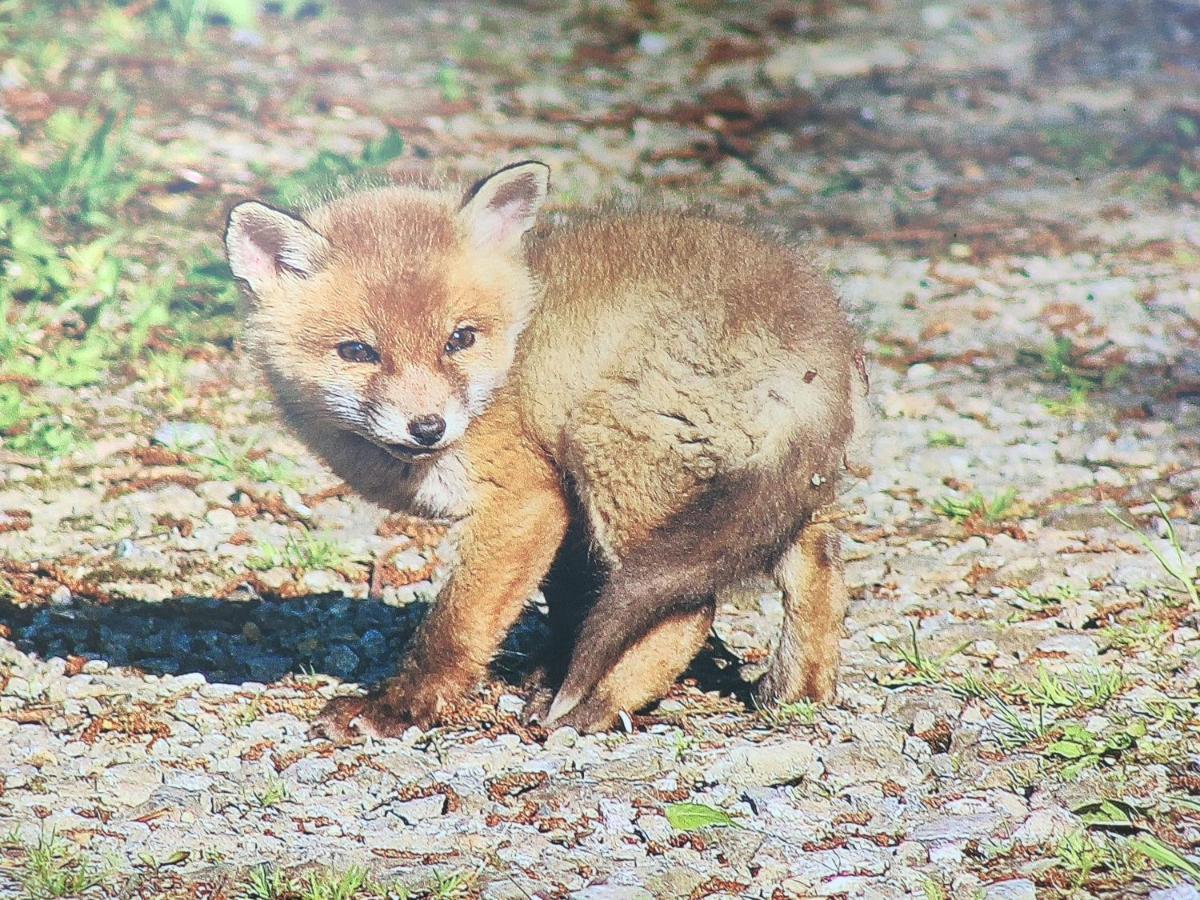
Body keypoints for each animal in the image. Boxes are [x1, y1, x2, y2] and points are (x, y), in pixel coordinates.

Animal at [220, 164, 868, 739]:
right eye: (358, 351)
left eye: (460, 339)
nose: (428, 427)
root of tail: (814, 333)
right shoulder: (566, 517)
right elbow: (567, 604)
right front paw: (547, 669)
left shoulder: (527, 502)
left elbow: (457, 627)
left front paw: (402, 705)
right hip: (779, 493)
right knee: (819, 565)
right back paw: (799, 692)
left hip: (609, 454)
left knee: (690, 609)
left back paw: (599, 705)